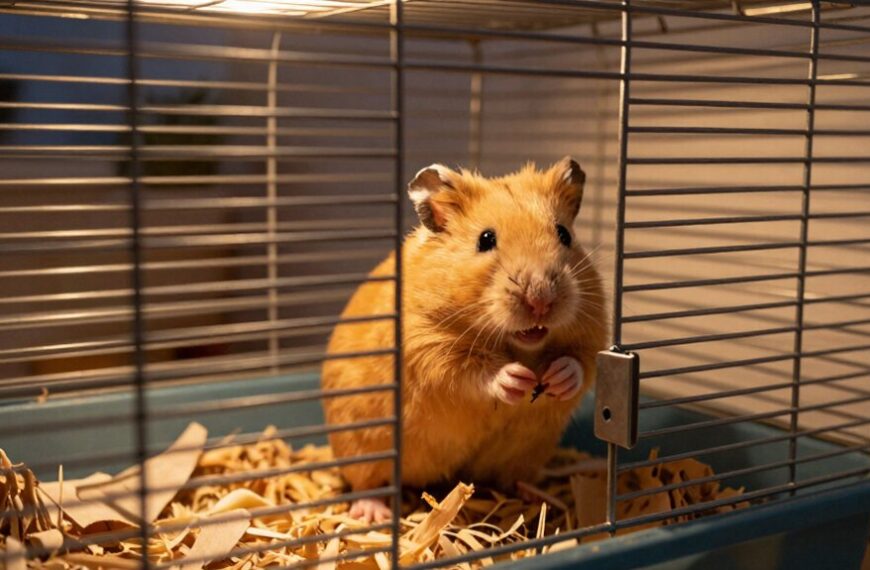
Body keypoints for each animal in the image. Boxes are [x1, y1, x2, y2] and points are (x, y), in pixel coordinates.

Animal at [321, 157, 608, 522]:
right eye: (485, 239)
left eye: (564, 234)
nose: (541, 301)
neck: (517, 345)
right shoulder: (427, 346)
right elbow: (471, 374)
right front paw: (516, 379)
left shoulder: (593, 329)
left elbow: (579, 363)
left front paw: (557, 377)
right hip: (363, 445)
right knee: (367, 483)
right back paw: (374, 513)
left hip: (525, 455)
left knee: (514, 478)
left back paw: (538, 496)